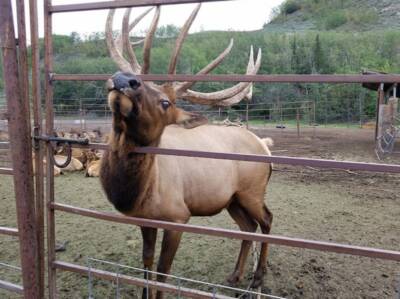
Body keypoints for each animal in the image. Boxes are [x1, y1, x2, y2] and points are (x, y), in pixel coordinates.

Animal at [100, 3, 274, 298]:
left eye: (165, 102)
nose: (124, 79)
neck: (135, 191)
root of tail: (265, 145)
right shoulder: (144, 219)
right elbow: (146, 262)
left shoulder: (179, 217)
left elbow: (163, 271)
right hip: (232, 199)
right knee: (248, 228)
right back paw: (235, 275)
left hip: (252, 191)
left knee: (267, 221)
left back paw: (257, 278)